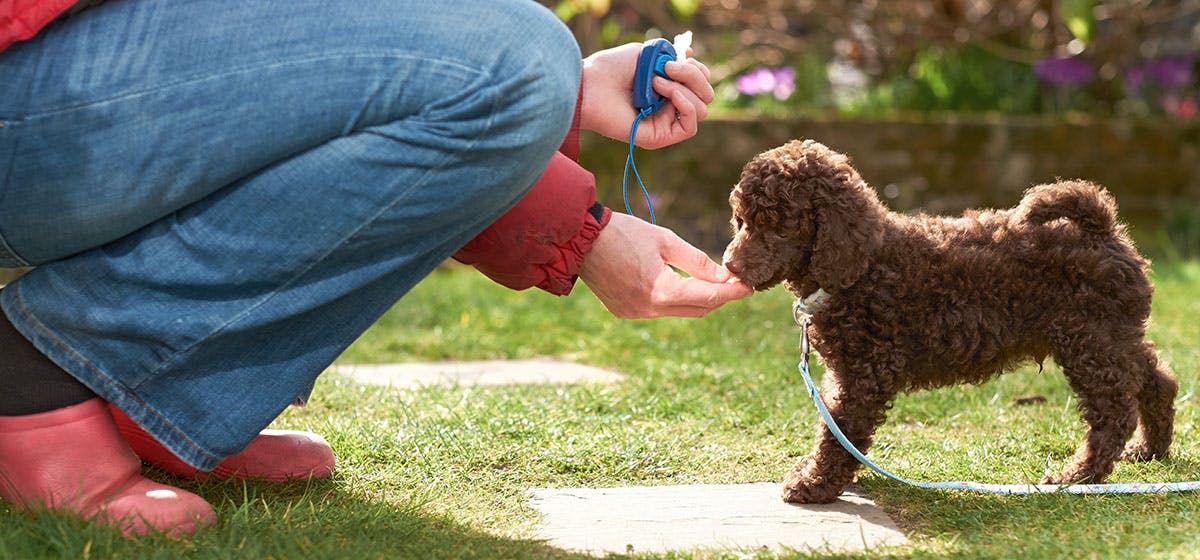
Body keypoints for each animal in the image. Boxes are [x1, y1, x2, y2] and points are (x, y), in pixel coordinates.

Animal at [724, 139, 1176, 503]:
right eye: (741, 220)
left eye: (777, 226)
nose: (729, 265)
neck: (864, 266)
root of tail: (1102, 229)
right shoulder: (847, 372)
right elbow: (835, 426)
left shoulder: (864, 374)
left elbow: (839, 431)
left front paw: (815, 484)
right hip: (1113, 336)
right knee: (1157, 379)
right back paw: (1150, 450)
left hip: (1090, 340)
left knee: (1114, 412)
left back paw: (1078, 476)